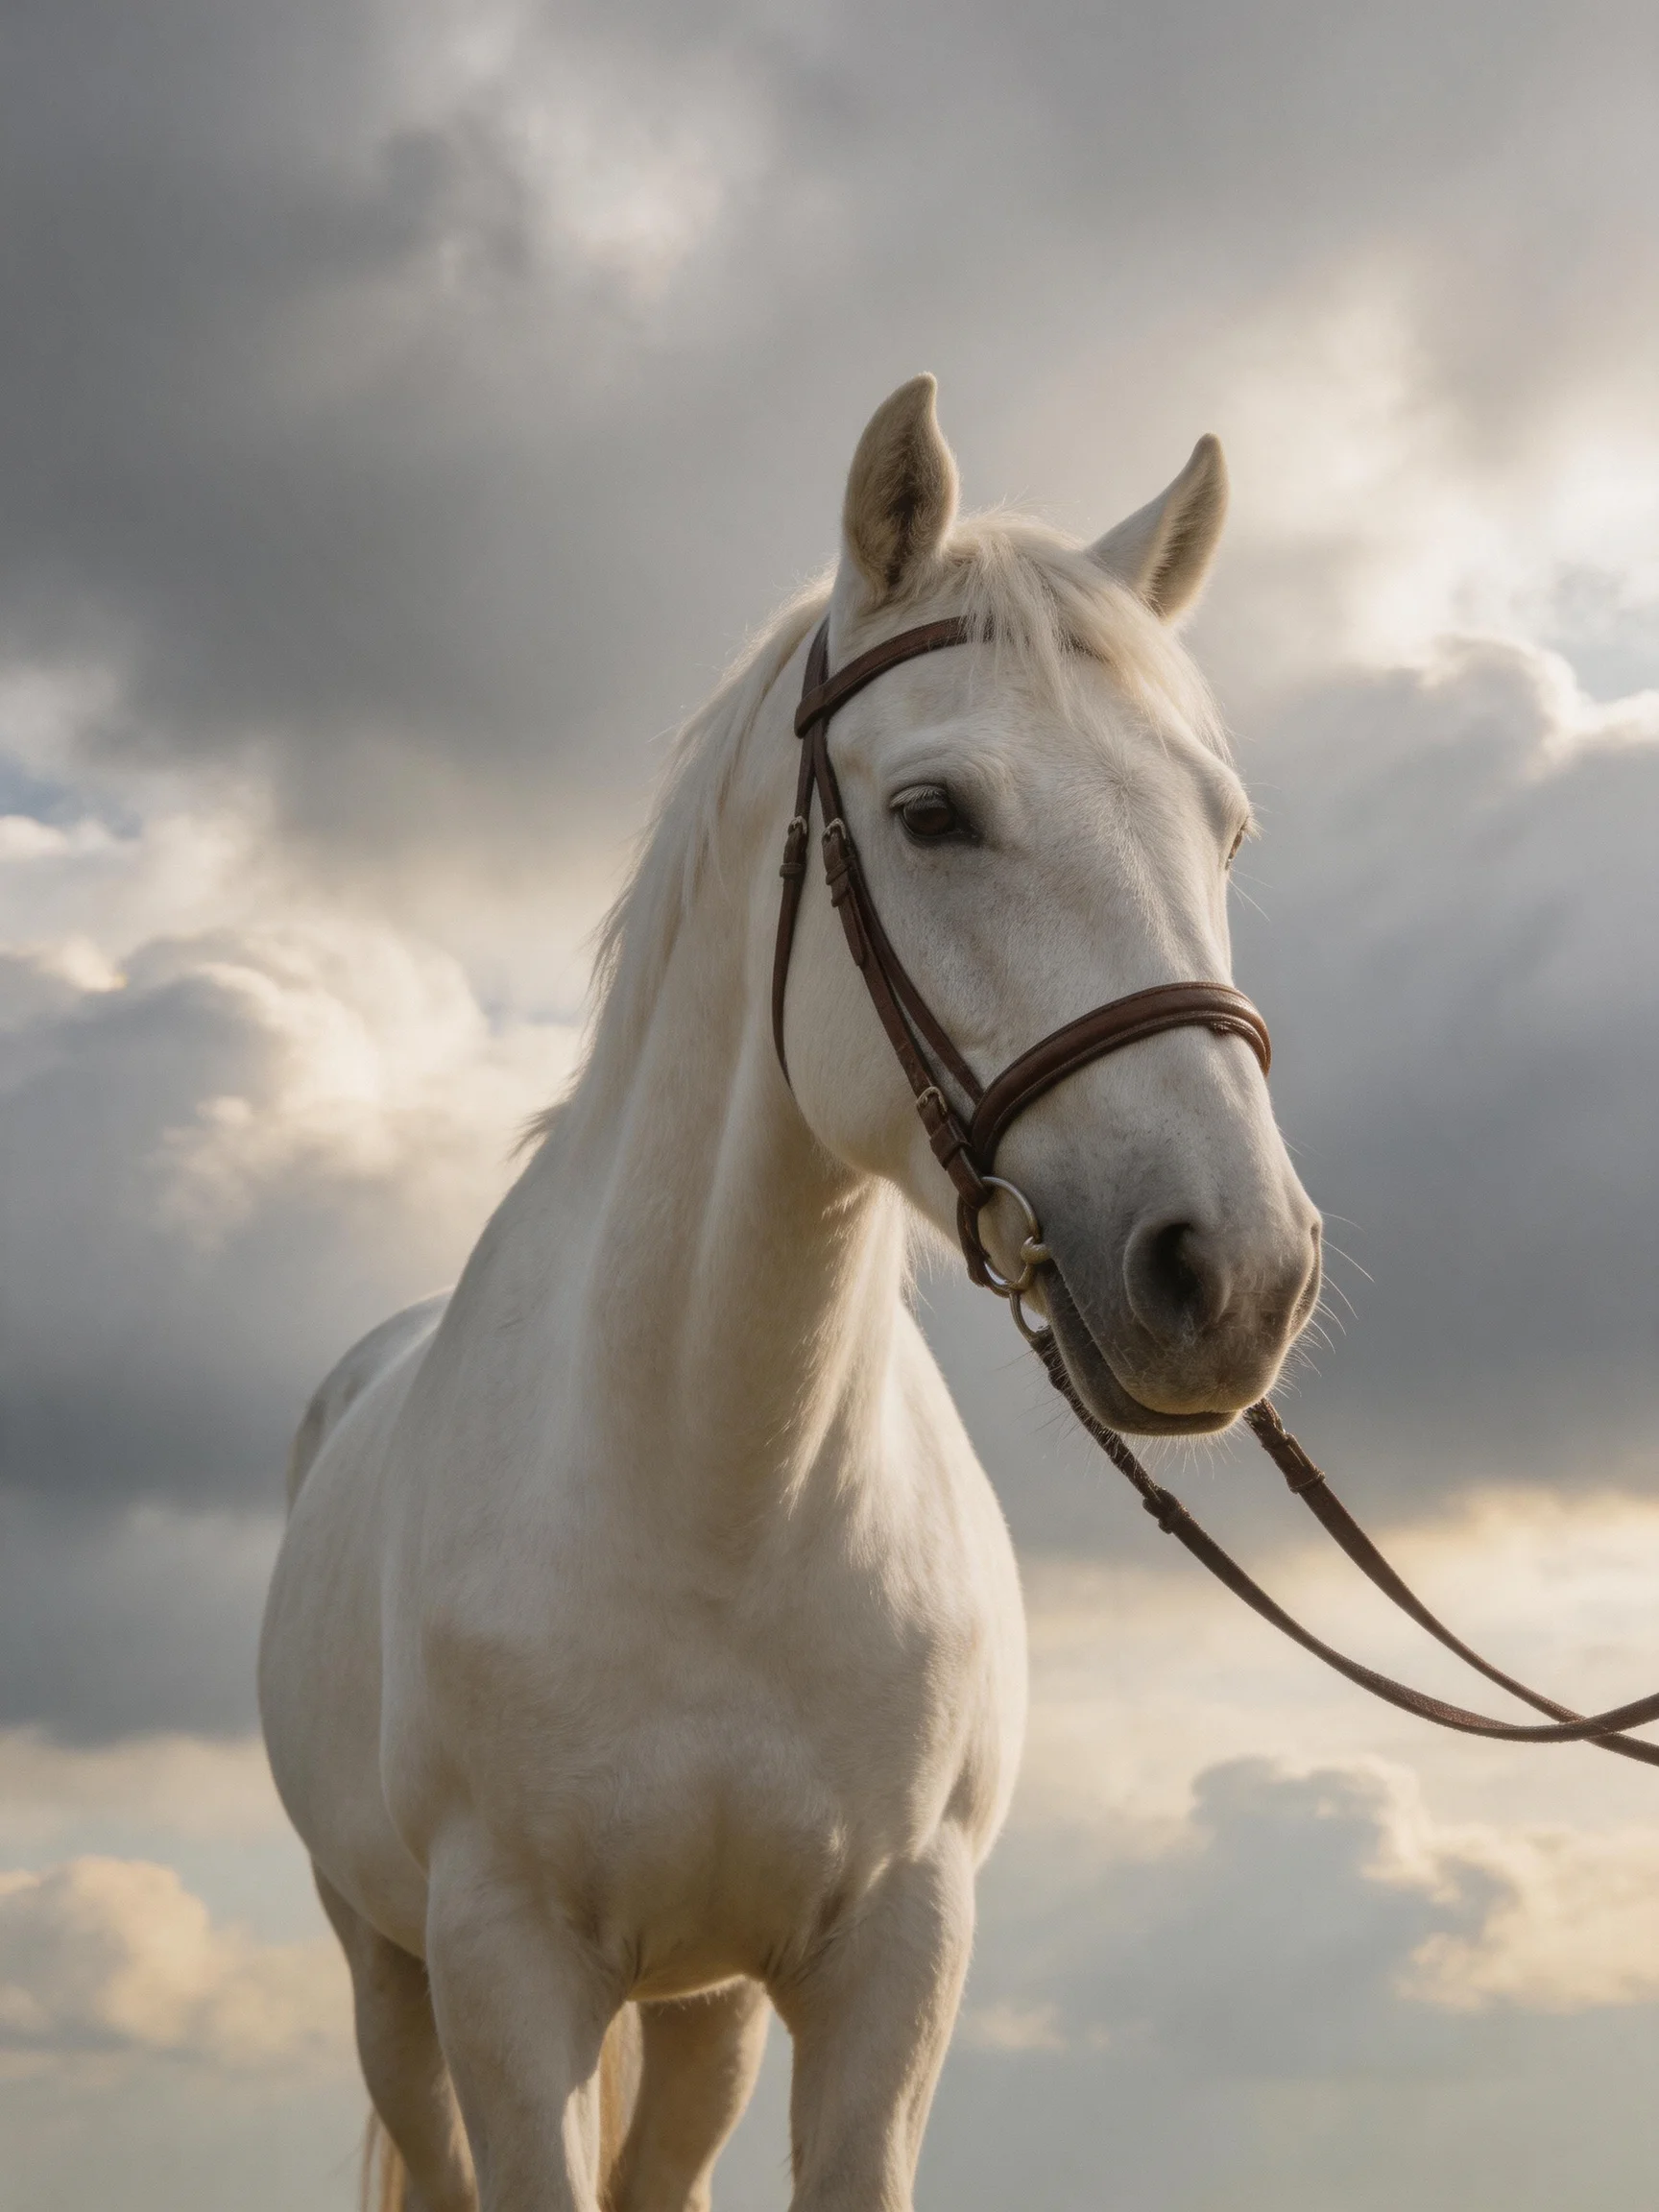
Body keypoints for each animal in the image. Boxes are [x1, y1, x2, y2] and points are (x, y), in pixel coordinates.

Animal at [258, 374, 1321, 2212]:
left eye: (1225, 825)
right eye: (931, 812)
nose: (1234, 1271)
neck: (710, 1492)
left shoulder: (885, 1961)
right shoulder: (503, 1972)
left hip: (700, 2012)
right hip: (386, 1970)